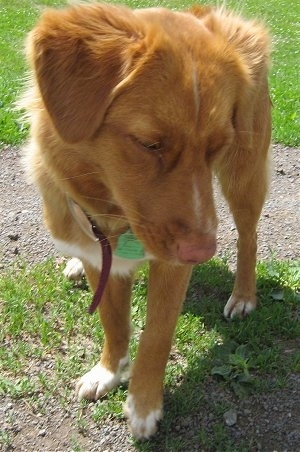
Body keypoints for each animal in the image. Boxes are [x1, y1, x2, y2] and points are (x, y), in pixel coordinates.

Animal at [22, 1, 272, 440]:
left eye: (217, 146)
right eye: (149, 144)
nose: (202, 252)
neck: (112, 214)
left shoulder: (172, 262)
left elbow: (156, 334)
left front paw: (143, 405)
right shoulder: (96, 251)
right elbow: (112, 320)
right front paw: (108, 371)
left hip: (244, 174)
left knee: (249, 237)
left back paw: (243, 295)